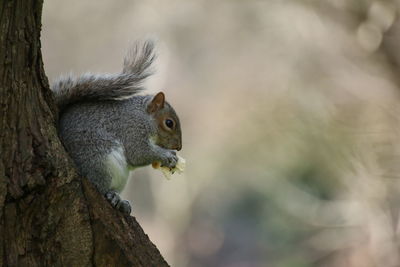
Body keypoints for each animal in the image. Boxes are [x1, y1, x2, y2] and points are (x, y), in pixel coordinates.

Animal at [50, 40, 182, 215]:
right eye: (169, 123)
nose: (179, 147)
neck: (143, 117)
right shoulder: (131, 130)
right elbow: (138, 153)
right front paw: (167, 155)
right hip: (99, 162)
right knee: (100, 186)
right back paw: (112, 196)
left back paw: (121, 202)